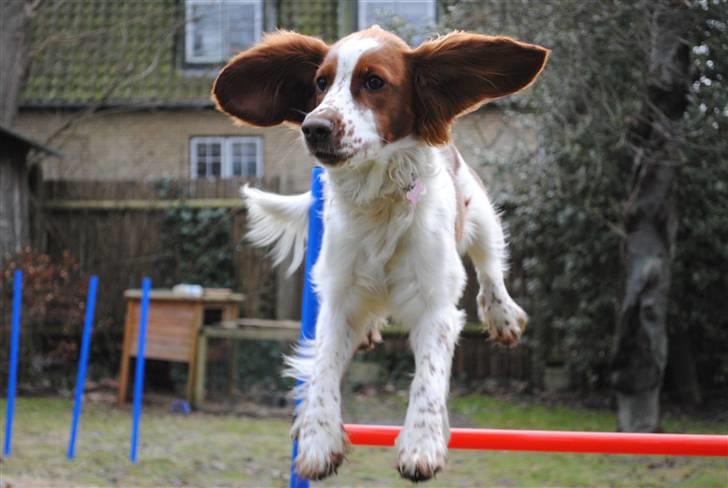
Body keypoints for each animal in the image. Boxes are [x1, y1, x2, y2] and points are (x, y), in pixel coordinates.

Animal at [213, 25, 548, 480]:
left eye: (374, 82)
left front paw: (421, 443)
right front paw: (318, 440)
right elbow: (322, 367)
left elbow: (428, 377)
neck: (378, 202)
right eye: (320, 83)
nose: (314, 127)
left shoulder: (436, 306)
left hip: (480, 213)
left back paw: (502, 316)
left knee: (490, 266)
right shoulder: (336, 297)